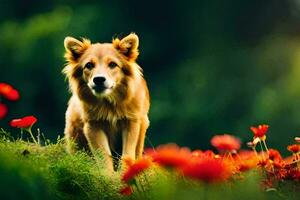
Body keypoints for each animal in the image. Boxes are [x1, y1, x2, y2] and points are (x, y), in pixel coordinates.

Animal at [61, 32, 150, 170]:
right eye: (89, 65)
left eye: (113, 64)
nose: (98, 79)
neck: (109, 104)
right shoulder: (93, 126)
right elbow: (104, 156)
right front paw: (108, 174)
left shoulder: (131, 122)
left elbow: (127, 155)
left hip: (143, 123)